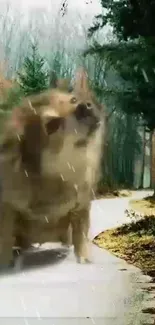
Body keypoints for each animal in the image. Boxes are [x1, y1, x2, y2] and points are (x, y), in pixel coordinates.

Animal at [0, 67, 104, 266]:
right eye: (52, 124)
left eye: (73, 100)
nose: (84, 106)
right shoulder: (7, 205)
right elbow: (5, 236)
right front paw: (5, 263)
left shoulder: (83, 202)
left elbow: (81, 232)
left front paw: (84, 259)